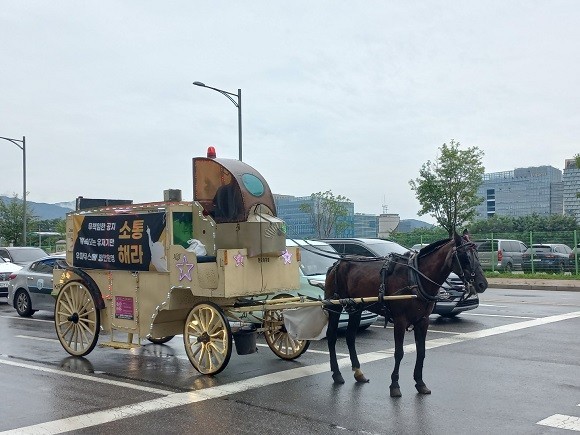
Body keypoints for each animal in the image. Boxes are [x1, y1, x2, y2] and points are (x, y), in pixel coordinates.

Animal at [324, 233, 488, 396]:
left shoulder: (423, 321)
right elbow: (399, 352)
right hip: (335, 306)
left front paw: (420, 383)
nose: (483, 284)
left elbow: (421, 351)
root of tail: (336, 264)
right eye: (465, 256)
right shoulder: (400, 320)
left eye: (477, 253)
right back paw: (337, 374)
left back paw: (358, 373)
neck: (416, 277)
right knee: (332, 336)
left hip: (356, 308)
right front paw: (394, 385)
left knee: (350, 337)